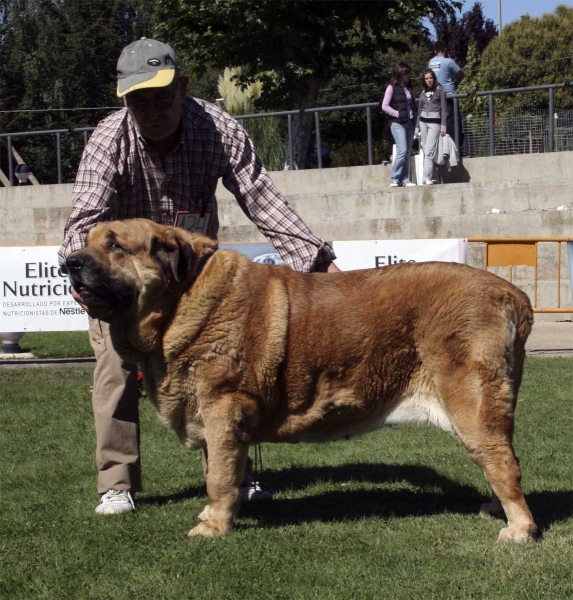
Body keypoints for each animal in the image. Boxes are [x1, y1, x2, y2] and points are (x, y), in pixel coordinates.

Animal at [65, 218, 540, 540]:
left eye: (115, 245)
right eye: (86, 242)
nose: (69, 262)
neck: (179, 299)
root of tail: (512, 294)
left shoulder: (222, 410)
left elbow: (219, 476)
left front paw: (214, 526)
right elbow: (220, 470)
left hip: (472, 405)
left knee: (503, 462)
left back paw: (518, 528)